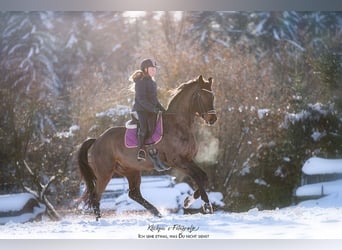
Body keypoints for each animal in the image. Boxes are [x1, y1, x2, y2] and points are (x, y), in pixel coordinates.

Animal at [78, 75, 216, 220]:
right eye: (202, 96)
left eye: (212, 96)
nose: (213, 119)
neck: (178, 125)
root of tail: (97, 140)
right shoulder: (177, 161)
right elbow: (197, 176)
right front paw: (206, 205)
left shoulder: (188, 159)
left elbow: (204, 176)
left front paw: (188, 201)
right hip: (105, 173)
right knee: (95, 196)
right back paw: (99, 220)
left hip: (131, 170)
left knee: (134, 194)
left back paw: (157, 213)